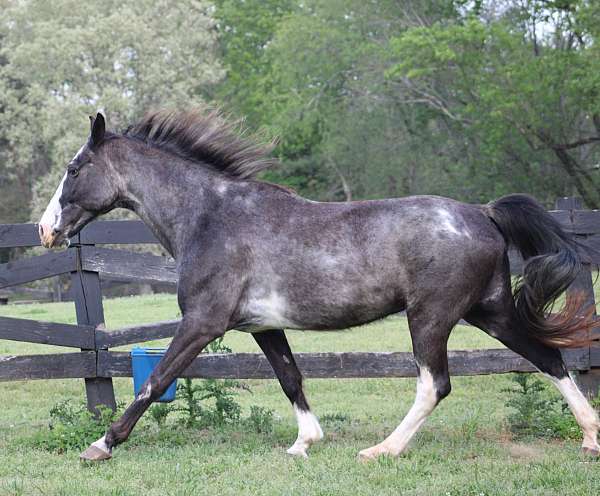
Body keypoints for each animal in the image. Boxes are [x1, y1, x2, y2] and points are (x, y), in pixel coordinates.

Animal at [38, 109, 600, 462]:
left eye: (74, 168)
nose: (46, 230)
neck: (210, 217)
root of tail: (482, 212)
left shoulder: (202, 322)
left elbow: (155, 382)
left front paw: (101, 446)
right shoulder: (261, 326)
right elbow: (291, 378)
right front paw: (305, 442)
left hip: (431, 317)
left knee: (434, 384)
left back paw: (382, 450)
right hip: (489, 311)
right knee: (549, 358)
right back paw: (591, 437)